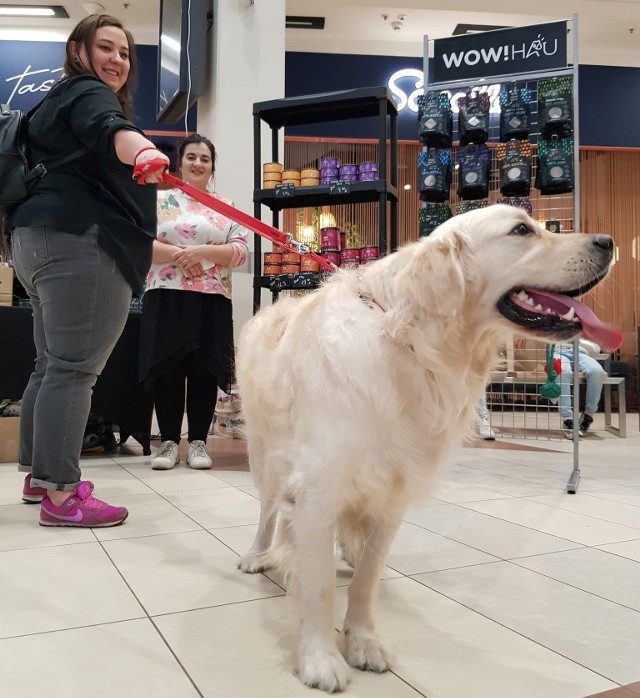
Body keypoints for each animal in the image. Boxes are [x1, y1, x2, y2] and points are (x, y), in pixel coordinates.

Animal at [236, 203, 620, 692]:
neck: (410, 341)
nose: (608, 242)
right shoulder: (318, 487)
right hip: (264, 455)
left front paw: (363, 641)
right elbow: (319, 583)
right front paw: (320, 658)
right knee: (268, 513)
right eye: (520, 230)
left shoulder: (391, 494)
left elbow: (367, 579)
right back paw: (257, 555)